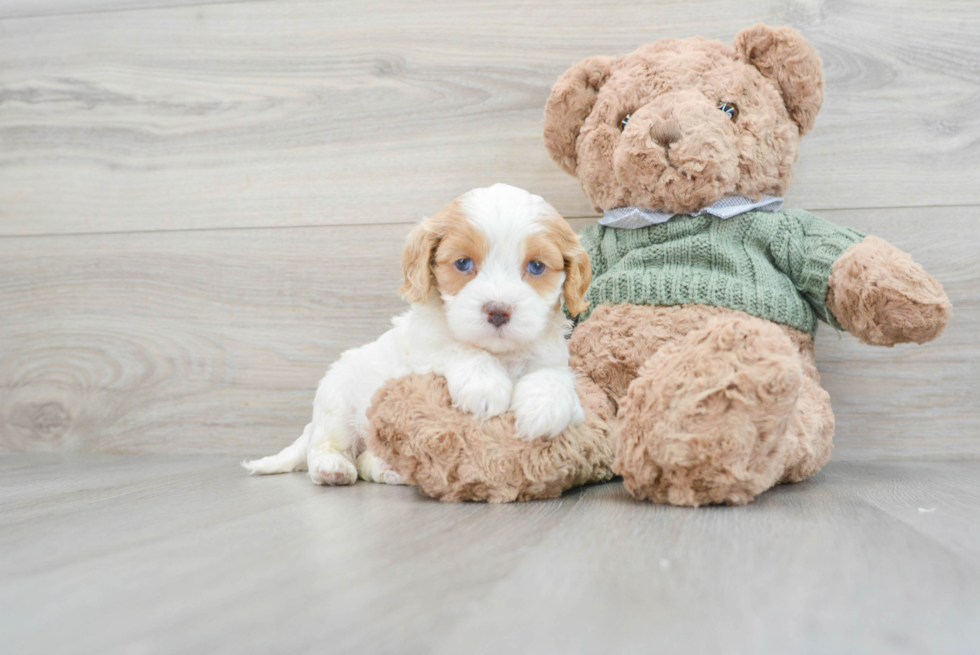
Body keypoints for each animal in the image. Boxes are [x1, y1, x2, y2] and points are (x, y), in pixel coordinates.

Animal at [243, 182, 588, 484]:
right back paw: (332, 468)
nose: (498, 311)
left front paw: (545, 407)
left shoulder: (551, 355)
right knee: (327, 446)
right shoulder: (425, 347)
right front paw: (485, 386)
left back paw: (388, 470)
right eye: (463, 263)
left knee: (365, 459)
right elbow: (457, 348)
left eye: (536, 267)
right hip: (336, 401)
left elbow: (554, 374)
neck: (501, 354)